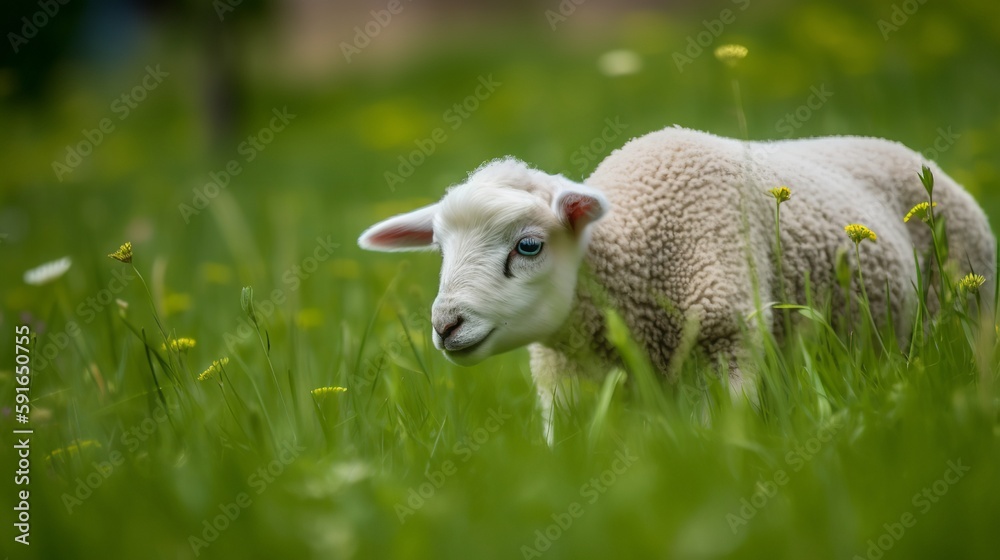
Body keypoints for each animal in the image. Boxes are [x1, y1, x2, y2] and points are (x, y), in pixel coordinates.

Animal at [358, 125, 995, 443]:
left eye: (529, 246)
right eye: (440, 249)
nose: (446, 325)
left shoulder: (727, 340)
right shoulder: (564, 380)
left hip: (970, 307)